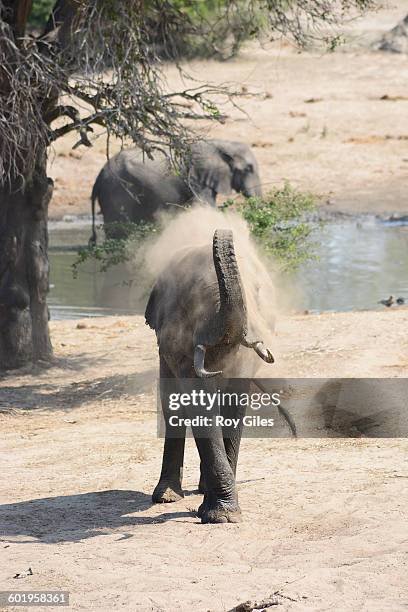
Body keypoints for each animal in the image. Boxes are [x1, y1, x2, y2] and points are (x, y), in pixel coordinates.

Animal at [89, 140, 262, 241]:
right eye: (249, 169)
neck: (222, 144)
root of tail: (99, 176)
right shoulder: (196, 178)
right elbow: (205, 206)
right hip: (117, 191)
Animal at [145, 227, 272, 524]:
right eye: (192, 301)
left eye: (257, 294)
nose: (224, 230)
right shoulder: (177, 347)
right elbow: (196, 403)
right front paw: (221, 516)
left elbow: (234, 404)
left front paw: (219, 513)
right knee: (172, 407)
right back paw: (166, 496)